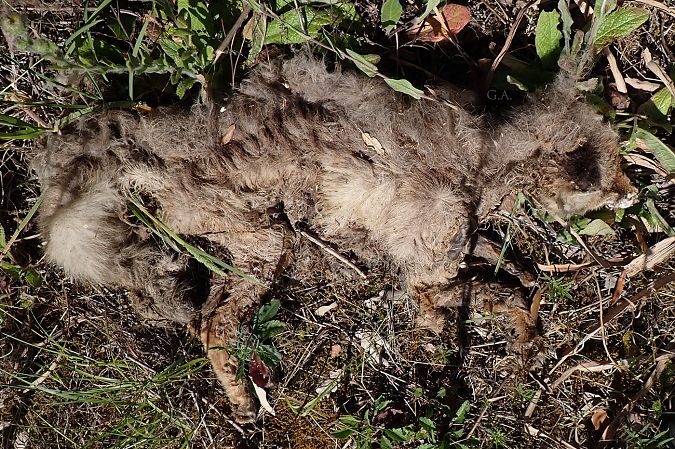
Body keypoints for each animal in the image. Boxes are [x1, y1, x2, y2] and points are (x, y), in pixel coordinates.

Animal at [32, 52, 636, 422]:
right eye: (611, 171)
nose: (634, 191)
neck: (484, 159)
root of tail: (155, 144)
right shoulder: (425, 270)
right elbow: (484, 296)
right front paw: (516, 336)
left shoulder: (446, 248)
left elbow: (506, 271)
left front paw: (525, 300)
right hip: (264, 239)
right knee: (213, 324)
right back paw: (243, 400)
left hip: (250, 247)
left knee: (208, 320)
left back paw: (239, 396)